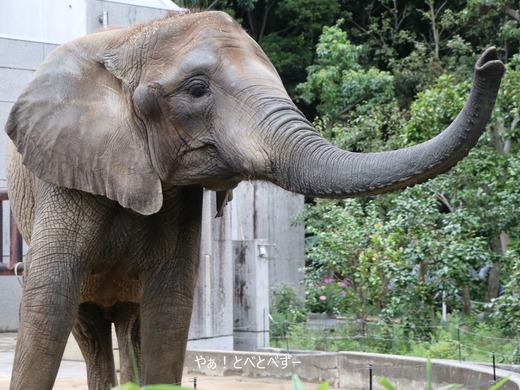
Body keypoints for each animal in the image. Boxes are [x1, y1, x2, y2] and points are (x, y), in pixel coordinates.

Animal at [6, 9, 504, 390]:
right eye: (197, 89)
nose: (492, 60)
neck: (133, 37)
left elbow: (169, 307)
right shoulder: (66, 167)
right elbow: (50, 298)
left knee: (130, 323)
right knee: (88, 325)